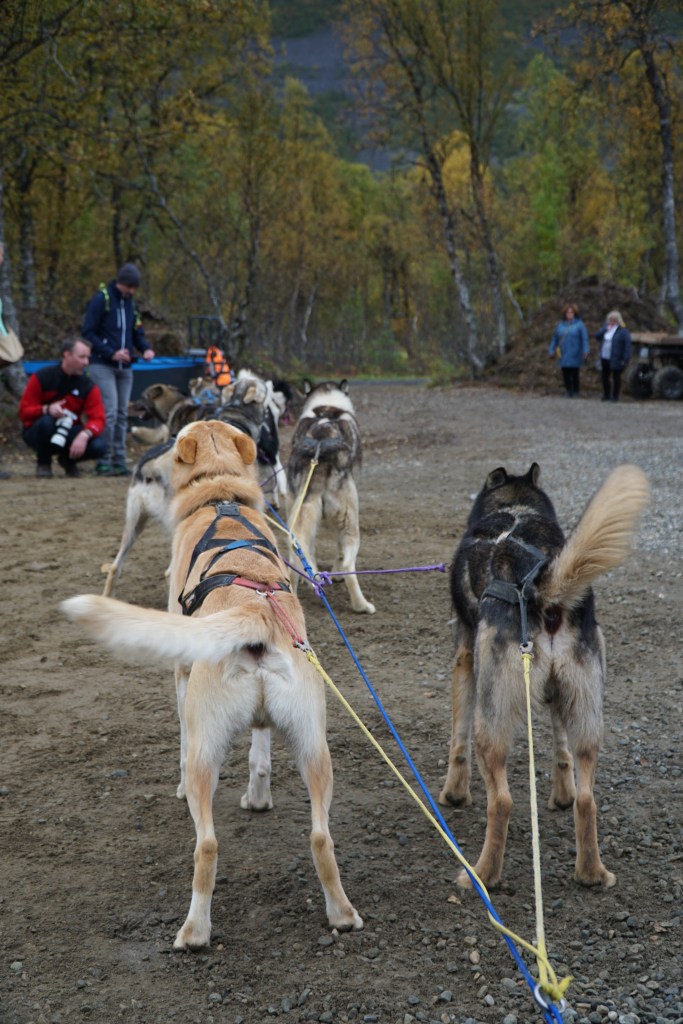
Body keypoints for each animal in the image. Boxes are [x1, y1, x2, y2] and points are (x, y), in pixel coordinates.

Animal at [63, 420, 363, 950]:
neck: (222, 496)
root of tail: (256, 613)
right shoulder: (268, 727)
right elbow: (260, 757)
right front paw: (258, 799)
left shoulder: (182, 678)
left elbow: (181, 741)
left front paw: (180, 785)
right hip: (315, 749)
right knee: (321, 837)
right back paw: (342, 914)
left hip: (210, 755)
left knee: (206, 844)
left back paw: (194, 930)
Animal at [287, 379, 375, 614]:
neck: (327, 408)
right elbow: (339, 553)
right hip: (351, 523)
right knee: (347, 564)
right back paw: (361, 605)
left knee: (296, 562)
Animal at [439, 462, 649, 890]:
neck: (516, 511)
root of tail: (542, 590)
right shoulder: (557, 696)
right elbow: (562, 754)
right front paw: (562, 794)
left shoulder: (464, 659)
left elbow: (457, 741)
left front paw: (453, 794)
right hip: (586, 715)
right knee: (588, 799)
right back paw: (591, 873)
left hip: (491, 722)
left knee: (501, 801)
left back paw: (482, 875)